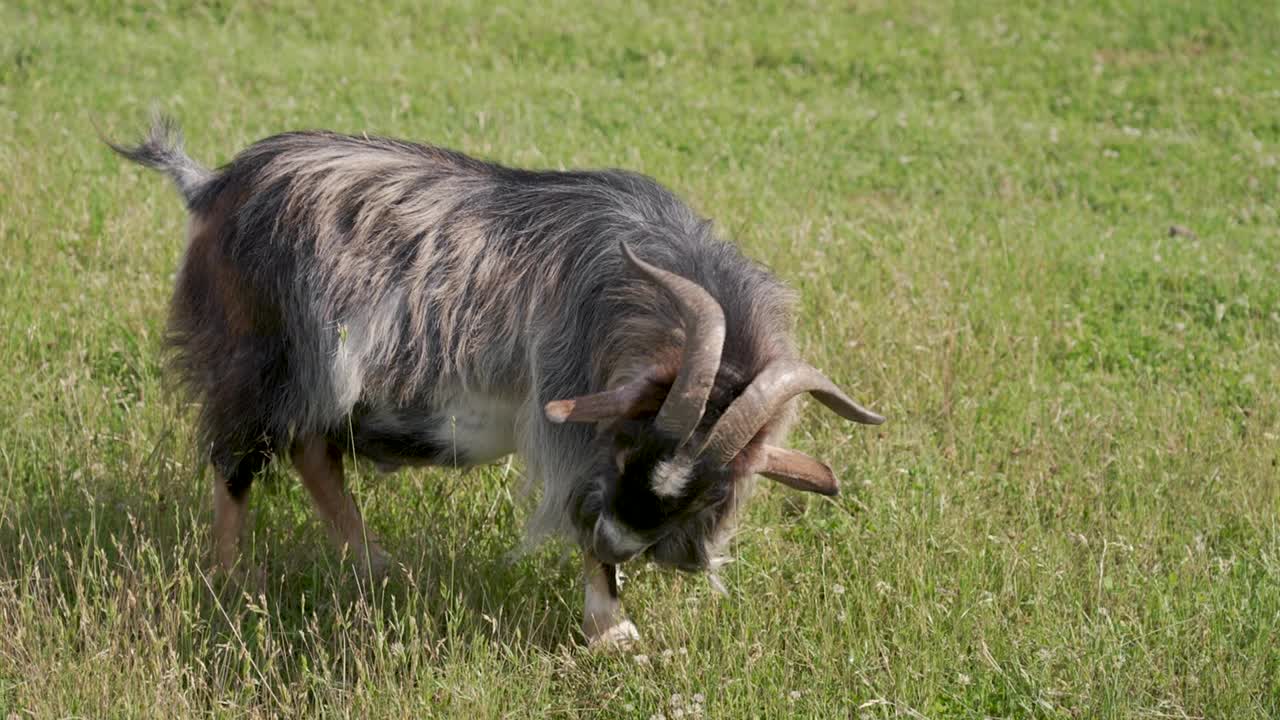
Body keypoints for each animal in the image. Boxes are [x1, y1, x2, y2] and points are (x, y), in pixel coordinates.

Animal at [110, 116, 885, 645]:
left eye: (712, 491)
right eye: (628, 444)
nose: (619, 543)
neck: (641, 278)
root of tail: (212, 186)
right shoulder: (571, 416)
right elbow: (575, 503)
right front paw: (612, 630)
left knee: (312, 452)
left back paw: (377, 569)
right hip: (253, 358)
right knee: (237, 462)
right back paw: (231, 583)